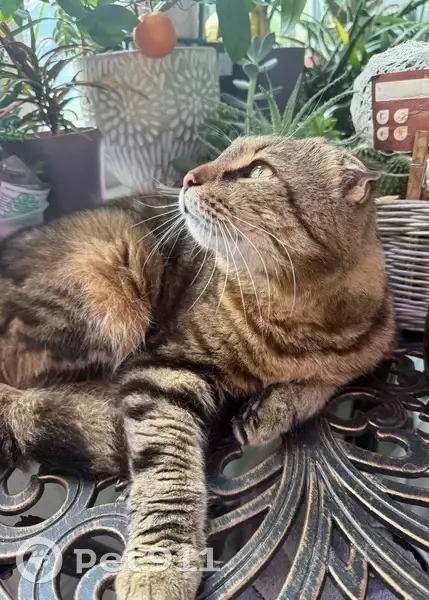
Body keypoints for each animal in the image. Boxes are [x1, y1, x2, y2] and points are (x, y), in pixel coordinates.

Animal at [0, 136, 394, 599]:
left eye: (256, 171)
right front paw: (159, 566)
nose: (187, 178)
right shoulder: (162, 369)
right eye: (225, 154)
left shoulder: (363, 355)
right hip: (107, 285)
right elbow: (168, 476)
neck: (295, 321)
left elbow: (323, 383)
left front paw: (274, 408)